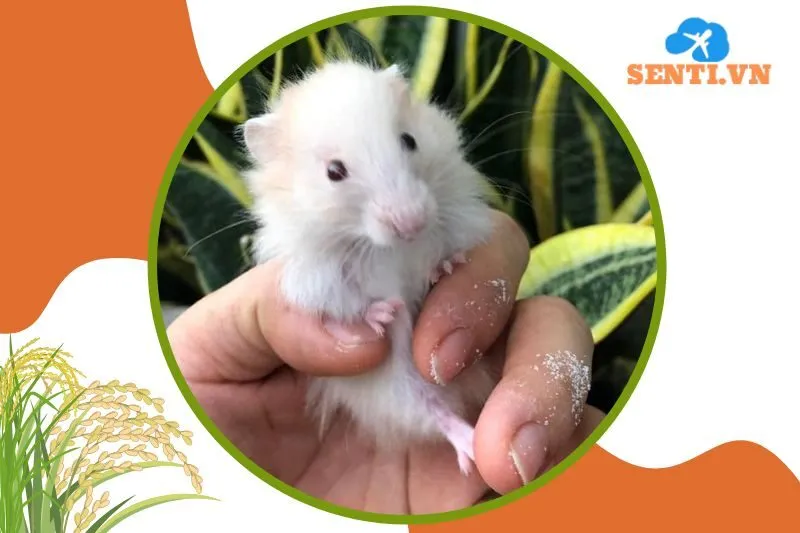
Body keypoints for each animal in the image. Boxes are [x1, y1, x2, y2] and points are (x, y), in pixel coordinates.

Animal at [240, 59, 498, 475]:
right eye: (334, 171)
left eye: (409, 140)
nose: (411, 224)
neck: (385, 249)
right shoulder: (314, 279)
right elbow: (345, 304)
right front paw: (385, 314)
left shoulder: (458, 218)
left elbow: (448, 249)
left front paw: (446, 268)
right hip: (397, 388)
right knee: (434, 414)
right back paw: (471, 446)